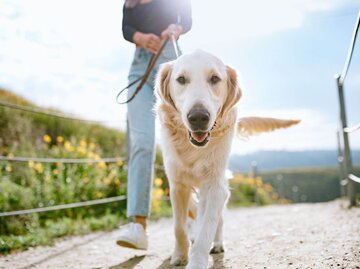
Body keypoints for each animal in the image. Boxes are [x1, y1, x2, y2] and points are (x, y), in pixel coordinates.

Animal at [155, 50, 298, 268]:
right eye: (181, 79)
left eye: (215, 79)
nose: (198, 117)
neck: (193, 148)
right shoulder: (177, 185)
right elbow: (178, 226)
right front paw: (179, 255)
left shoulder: (215, 186)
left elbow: (207, 228)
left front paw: (197, 261)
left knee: (217, 220)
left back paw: (217, 243)